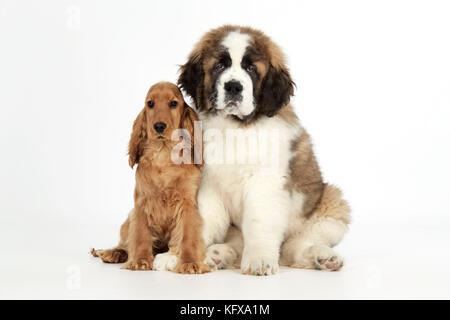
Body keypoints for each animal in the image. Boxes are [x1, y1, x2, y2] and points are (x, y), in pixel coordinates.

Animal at [92, 81, 211, 274]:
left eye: (173, 103)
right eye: (150, 103)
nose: (159, 126)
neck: (163, 154)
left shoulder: (187, 203)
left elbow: (188, 235)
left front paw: (189, 263)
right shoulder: (142, 202)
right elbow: (140, 234)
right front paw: (140, 260)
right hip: (128, 219)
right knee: (124, 242)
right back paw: (113, 253)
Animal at [154, 25, 352, 276]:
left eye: (251, 69)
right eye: (219, 65)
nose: (233, 87)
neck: (235, 128)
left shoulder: (265, 183)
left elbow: (259, 223)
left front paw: (259, 260)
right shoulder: (206, 184)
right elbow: (198, 221)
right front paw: (176, 255)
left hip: (332, 203)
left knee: (295, 246)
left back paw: (322, 257)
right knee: (239, 244)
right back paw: (216, 255)